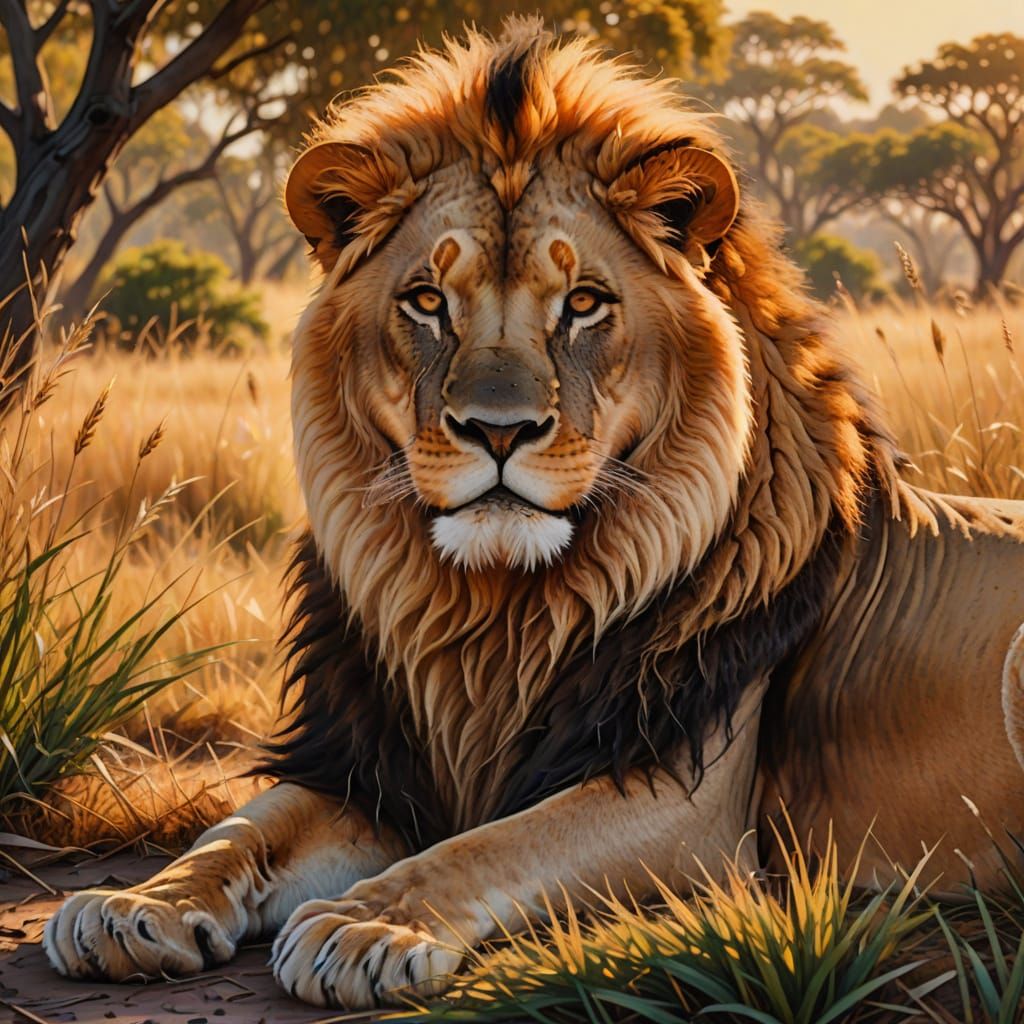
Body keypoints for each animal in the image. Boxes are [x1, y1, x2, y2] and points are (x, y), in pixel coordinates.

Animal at [44, 18, 1024, 1010]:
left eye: (583, 303)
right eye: (428, 301)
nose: (499, 430)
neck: (496, 620)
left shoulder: (693, 805)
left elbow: (491, 845)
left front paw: (366, 924)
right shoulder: (374, 769)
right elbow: (241, 829)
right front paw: (135, 905)